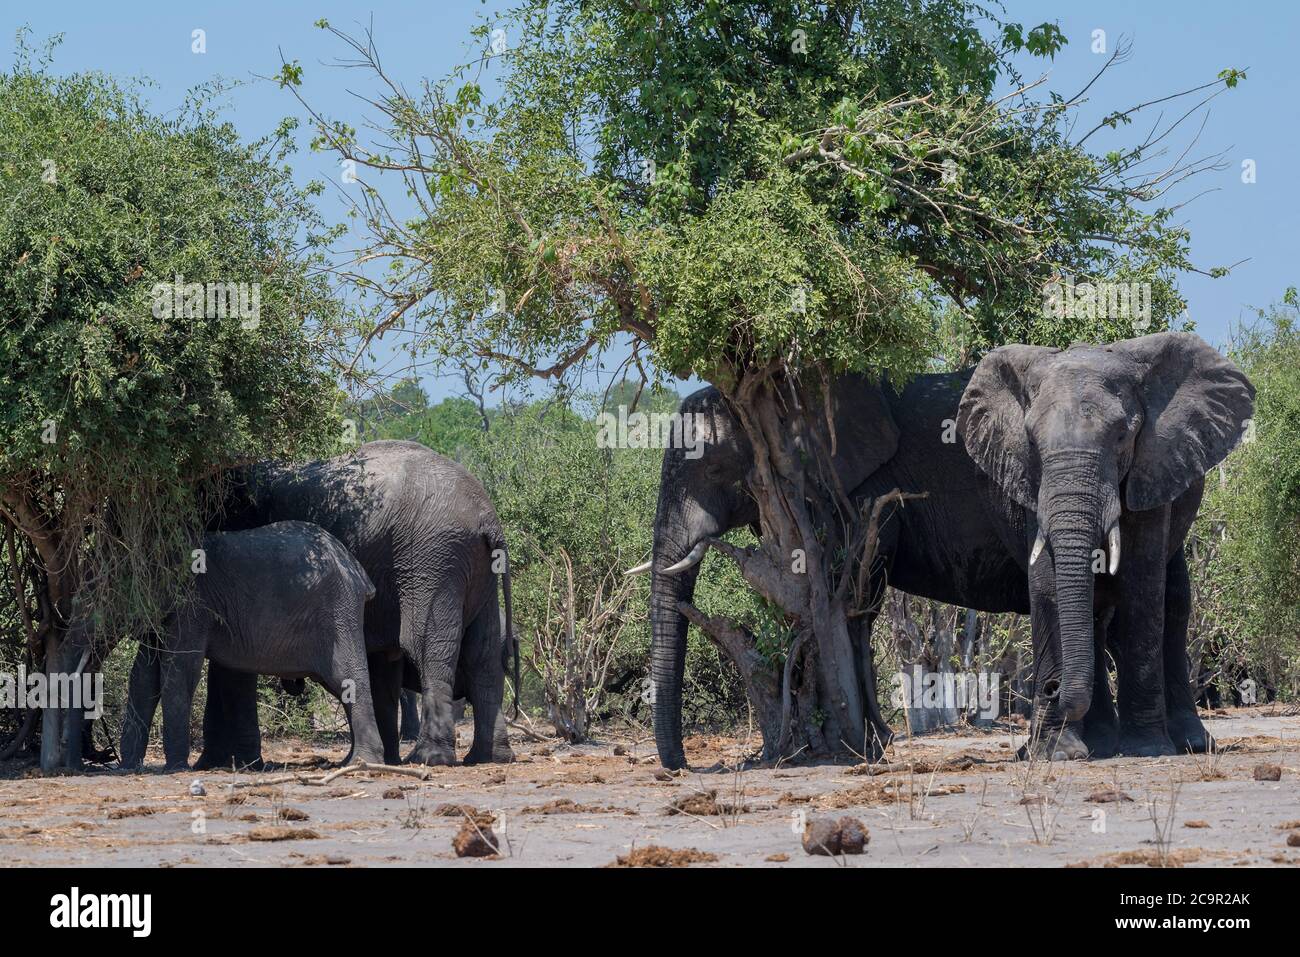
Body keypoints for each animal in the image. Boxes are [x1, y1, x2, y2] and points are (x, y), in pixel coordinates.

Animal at [197, 442, 512, 769]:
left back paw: (429, 758)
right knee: (483, 655)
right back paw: (489, 757)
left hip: (434, 557)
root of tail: (488, 518)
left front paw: (224, 763)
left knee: (426, 646)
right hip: (478, 569)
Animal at [961, 332, 1253, 759]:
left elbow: (1142, 585)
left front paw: (1147, 749)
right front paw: (1059, 754)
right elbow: (1046, 585)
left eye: (1121, 436)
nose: (1051, 688)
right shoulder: (1032, 483)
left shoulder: (1154, 462)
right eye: (1030, 441)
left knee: (1175, 604)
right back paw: (1098, 745)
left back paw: (1191, 743)